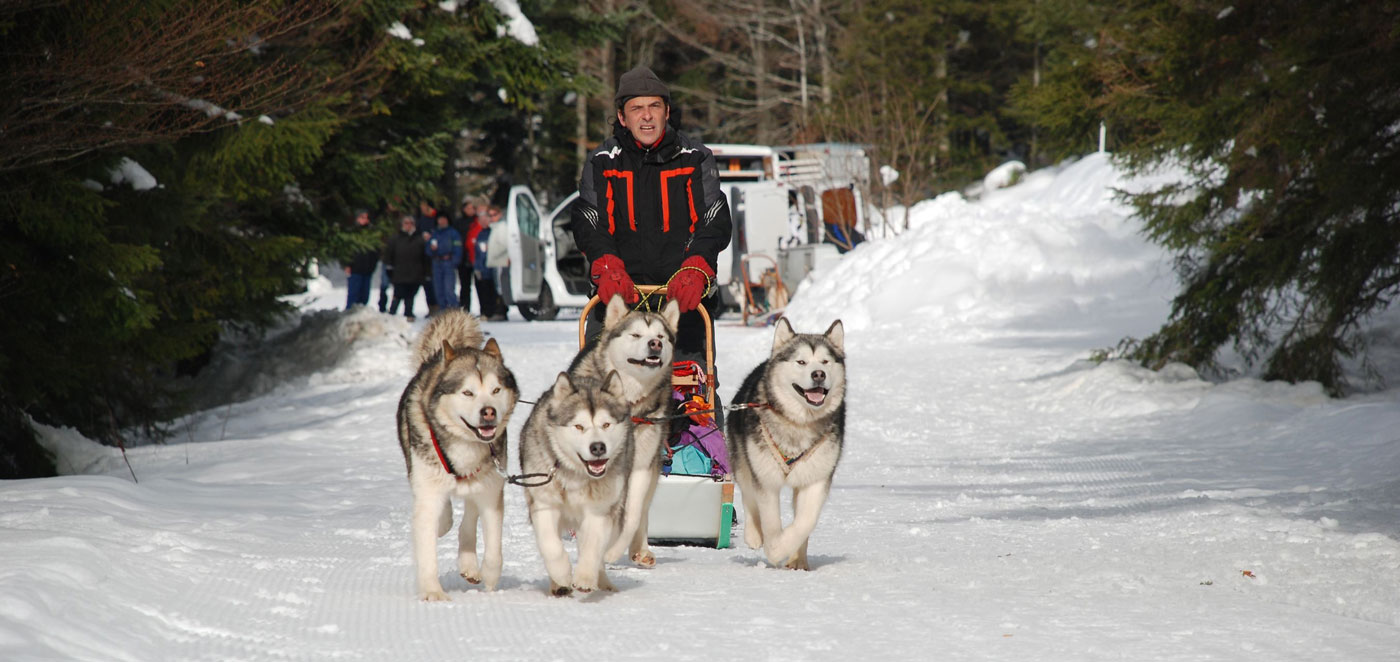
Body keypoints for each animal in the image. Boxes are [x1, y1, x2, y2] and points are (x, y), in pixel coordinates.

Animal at [394, 309, 520, 599]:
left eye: (496, 390)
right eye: (468, 392)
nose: (488, 412)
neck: (464, 445)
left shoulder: (491, 493)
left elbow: (494, 550)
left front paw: (489, 578)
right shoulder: (428, 492)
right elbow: (428, 546)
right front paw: (433, 593)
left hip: (482, 482)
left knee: (469, 516)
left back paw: (469, 564)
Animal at [520, 372, 635, 593]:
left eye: (606, 425)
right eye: (579, 426)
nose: (598, 447)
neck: (575, 474)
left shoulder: (600, 510)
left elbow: (593, 545)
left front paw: (585, 577)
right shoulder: (544, 504)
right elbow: (550, 545)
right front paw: (561, 574)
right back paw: (558, 586)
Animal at [568, 295, 677, 568]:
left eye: (661, 335)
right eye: (636, 334)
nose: (655, 343)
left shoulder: (640, 467)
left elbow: (633, 515)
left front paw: (613, 551)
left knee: (641, 510)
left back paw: (640, 550)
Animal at [728, 316, 845, 568]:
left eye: (825, 361)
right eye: (801, 361)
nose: (818, 374)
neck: (799, 423)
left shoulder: (816, 479)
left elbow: (805, 522)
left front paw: (788, 549)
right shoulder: (765, 479)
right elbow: (770, 522)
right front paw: (774, 550)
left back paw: (798, 560)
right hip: (743, 459)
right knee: (748, 496)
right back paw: (754, 535)